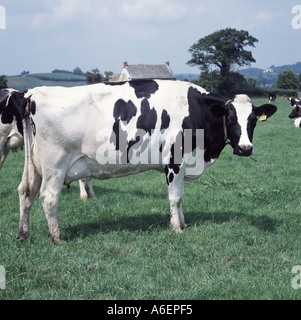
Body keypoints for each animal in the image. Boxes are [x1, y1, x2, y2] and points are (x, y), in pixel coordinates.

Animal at [0, 81, 276, 244]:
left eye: (253, 120)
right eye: (230, 119)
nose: (245, 148)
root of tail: (32, 93)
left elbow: (180, 197)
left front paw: (183, 222)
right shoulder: (174, 162)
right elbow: (175, 197)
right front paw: (176, 228)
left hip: (34, 165)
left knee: (26, 192)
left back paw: (23, 234)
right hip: (55, 165)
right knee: (48, 198)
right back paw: (57, 238)